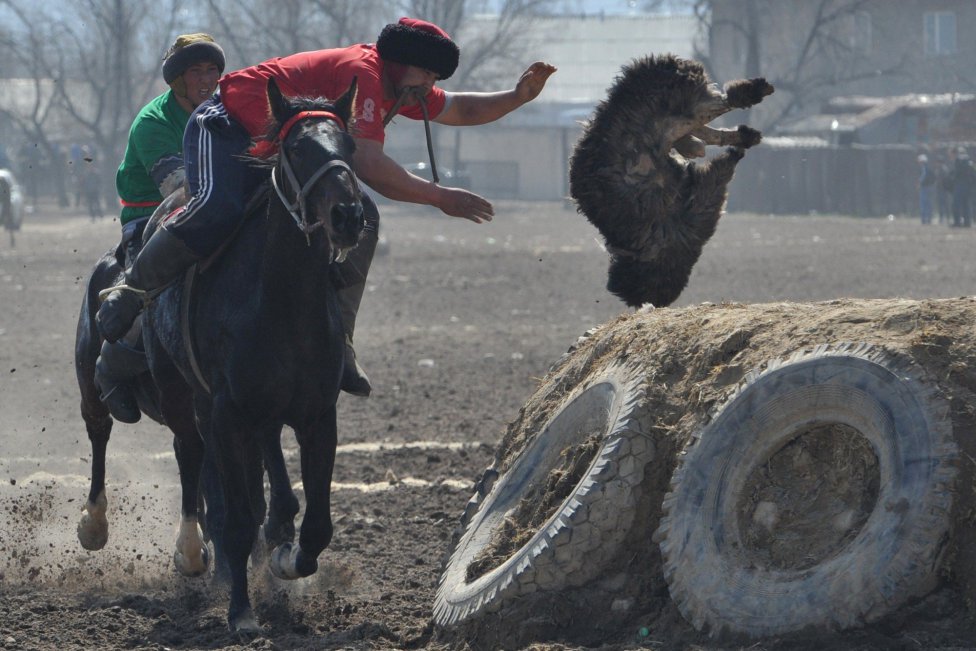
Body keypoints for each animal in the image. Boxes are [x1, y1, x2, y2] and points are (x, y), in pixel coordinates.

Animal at [141, 77, 362, 632]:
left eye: (348, 146)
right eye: (297, 149)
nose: (348, 216)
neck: (283, 302)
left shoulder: (317, 413)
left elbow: (318, 525)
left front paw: (285, 559)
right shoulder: (226, 412)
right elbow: (236, 519)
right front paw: (241, 611)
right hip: (181, 394)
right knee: (190, 454)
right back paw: (192, 551)